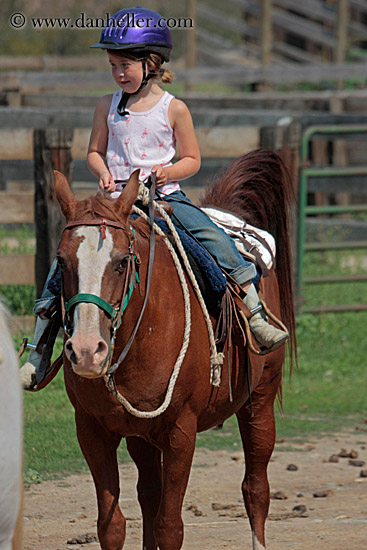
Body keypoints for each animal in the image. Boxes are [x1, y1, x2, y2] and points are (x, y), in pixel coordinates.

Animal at [54, 149, 296, 548]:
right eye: (61, 260)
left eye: (122, 262)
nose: (87, 351)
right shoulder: (92, 430)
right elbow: (112, 524)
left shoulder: (181, 431)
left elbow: (170, 526)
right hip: (141, 436)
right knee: (149, 495)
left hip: (260, 399)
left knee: (256, 489)